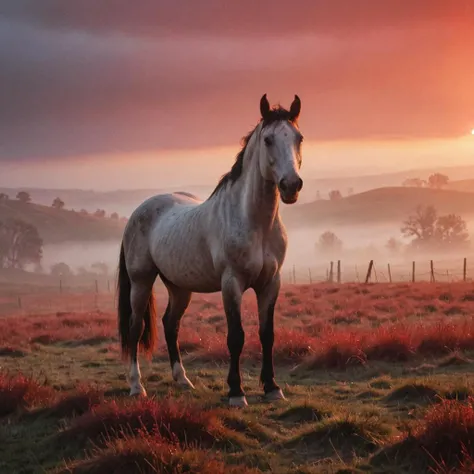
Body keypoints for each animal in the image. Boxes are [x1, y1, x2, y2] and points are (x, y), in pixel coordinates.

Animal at [116, 93, 306, 408]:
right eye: (268, 139)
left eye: (298, 138)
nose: (291, 185)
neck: (254, 222)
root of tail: (137, 213)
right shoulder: (232, 284)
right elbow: (236, 337)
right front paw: (236, 392)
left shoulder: (271, 284)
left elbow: (267, 334)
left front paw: (272, 388)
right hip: (141, 282)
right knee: (134, 328)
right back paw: (136, 386)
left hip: (180, 287)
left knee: (170, 325)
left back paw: (182, 380)